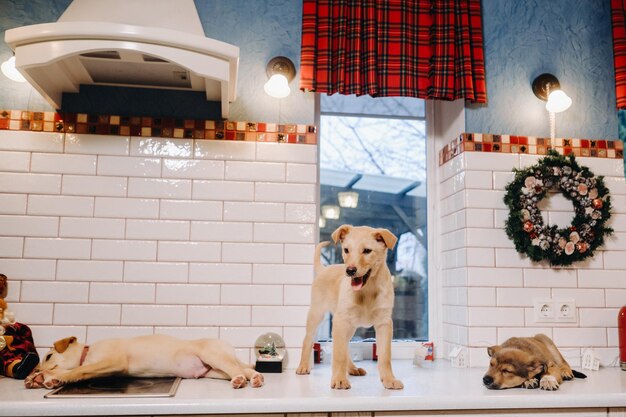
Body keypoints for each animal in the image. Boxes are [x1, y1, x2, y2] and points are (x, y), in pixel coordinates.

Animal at [294, 223, 402, 388]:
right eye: (346, 250)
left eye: (367, 251)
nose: (350, 271)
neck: (368, 289)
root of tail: (325, 269)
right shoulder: (340, 321)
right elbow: (338, 354)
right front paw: (339, 379)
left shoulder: (384, 323)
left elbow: (385, 356)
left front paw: (389, 379)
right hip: (317, 314)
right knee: (309, 340)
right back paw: (304, 366)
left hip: (350, 326)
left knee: (344, 346)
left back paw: (352, 369)